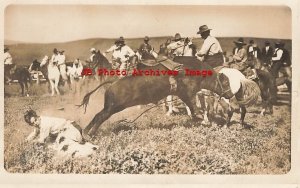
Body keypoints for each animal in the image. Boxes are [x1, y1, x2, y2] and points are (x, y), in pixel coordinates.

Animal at [78, 54, 233, 137]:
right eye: (226, 83)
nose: (230, 94)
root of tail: (113, 81)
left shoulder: (184, 95)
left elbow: (193, 110)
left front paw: (200, 119)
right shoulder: (189, 93)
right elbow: (196, 108)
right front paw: (205, 120)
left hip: (111, 107)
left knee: (98, 115)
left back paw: (85, 132)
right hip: (113, 107)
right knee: (100, 117)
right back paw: (90, 134)